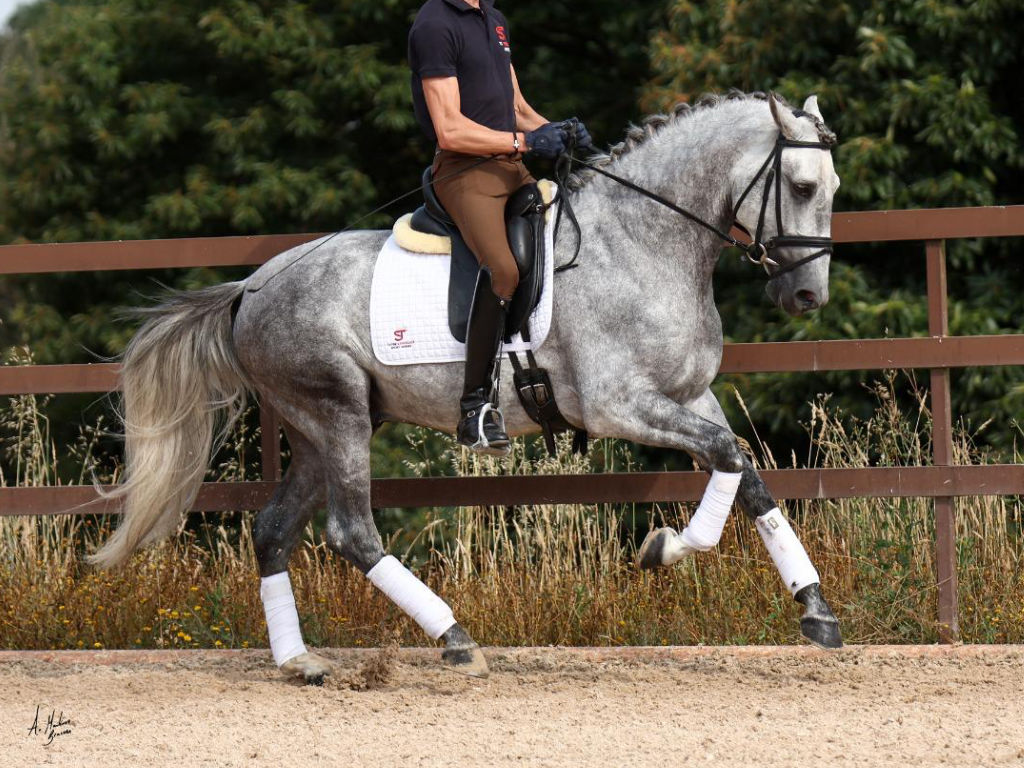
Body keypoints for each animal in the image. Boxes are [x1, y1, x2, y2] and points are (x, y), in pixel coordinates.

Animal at [89, 91, 843, 683]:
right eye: (804, 187)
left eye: (832, 192)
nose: (807, 295)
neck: (643, 242)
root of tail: (251, 286)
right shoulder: (619, 405)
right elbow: (726, 458)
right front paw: (665, 550)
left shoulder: (688, 398)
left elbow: (744, 470)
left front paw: (815, 609)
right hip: (337, 417)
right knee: (352, 532)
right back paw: (454, 639)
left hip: (315, 430)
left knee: (274, 530)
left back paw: (300, 661)